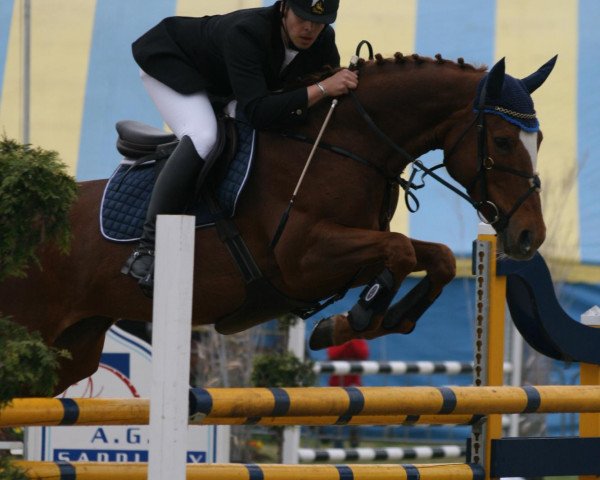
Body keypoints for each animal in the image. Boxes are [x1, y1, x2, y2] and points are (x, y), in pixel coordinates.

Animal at [0, 55, 556, 394]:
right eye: (502, 141)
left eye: (541, 140)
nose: (530, 237)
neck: (347, 144)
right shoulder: (303, 258)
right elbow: (399, 250)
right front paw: (354, 318)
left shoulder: (346, 255)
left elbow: (433, 256)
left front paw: (366, 321)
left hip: (71, 349)